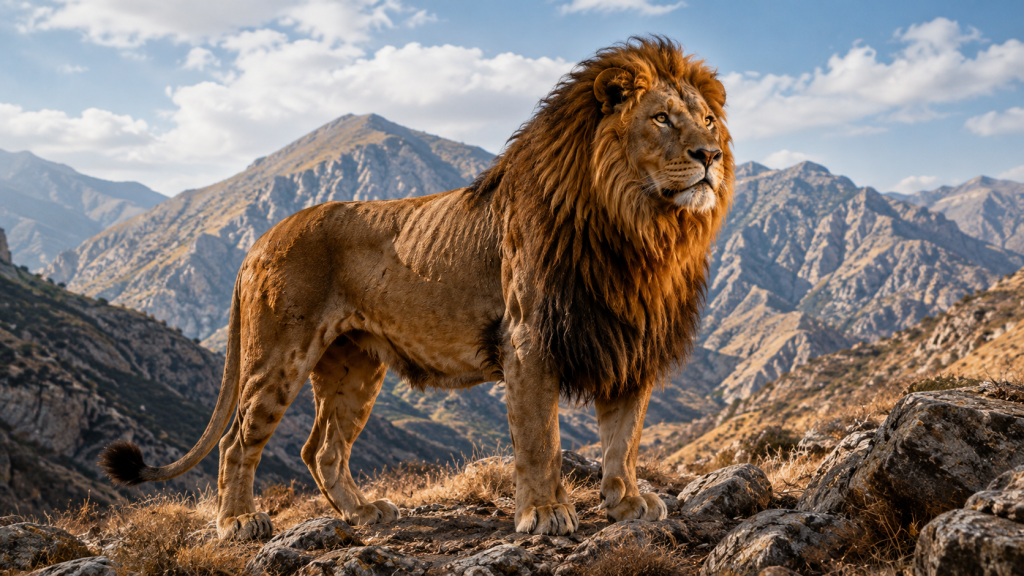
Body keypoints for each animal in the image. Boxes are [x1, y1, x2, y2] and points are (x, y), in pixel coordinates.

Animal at [99, 36, 734, 539]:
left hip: (354, 366)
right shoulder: (528, 341)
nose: (711, 156)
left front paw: (628, 503)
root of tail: (261, 236)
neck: (638, 229)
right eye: (661, 119)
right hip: (277, 355)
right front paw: (545, 513)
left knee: (321, 449)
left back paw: (362, 513)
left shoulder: (630, 342)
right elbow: (539, 439)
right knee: (238, 442)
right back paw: (238, 522)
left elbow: (624, 439)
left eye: (706, 120)